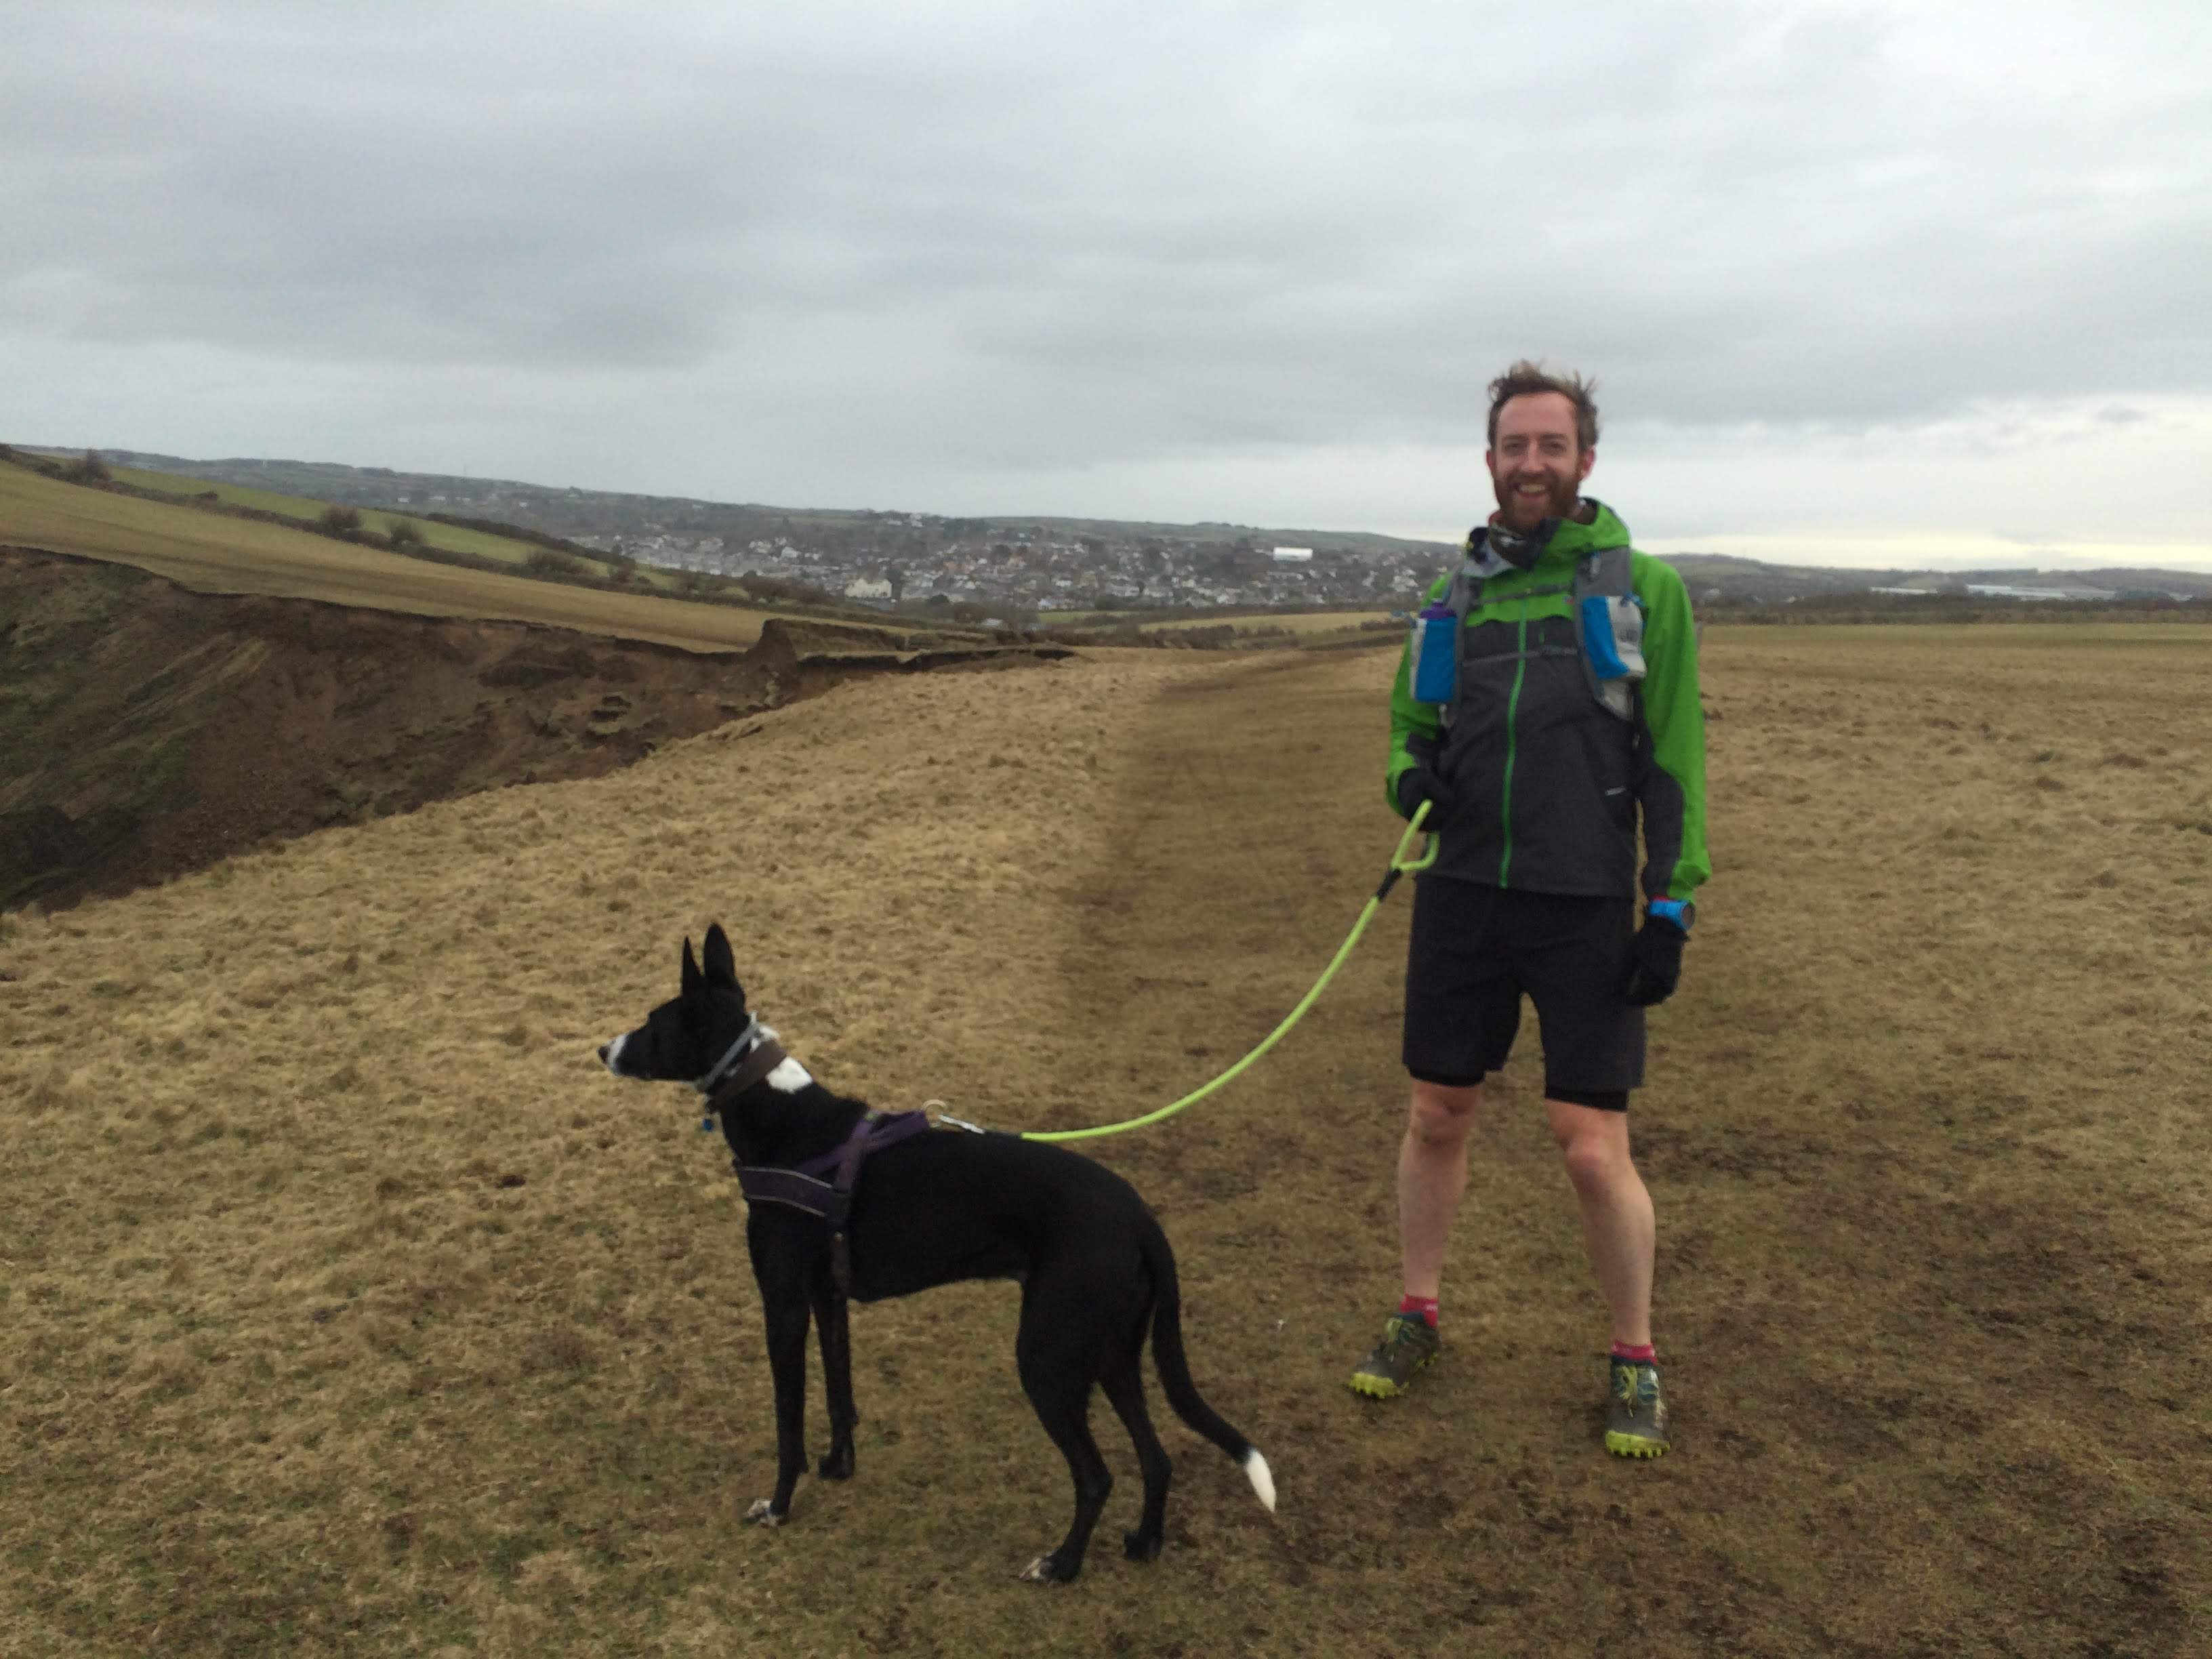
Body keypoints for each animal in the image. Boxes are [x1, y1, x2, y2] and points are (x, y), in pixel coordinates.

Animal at [601, 928, 1283, 1593]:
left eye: (654, 1022)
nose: (602, 1049)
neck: (784, 1117)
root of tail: (1143, 1221)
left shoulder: (784, 1305)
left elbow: (787, 1422)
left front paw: (778, 1506)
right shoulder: (828, 1296)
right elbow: (840, 1392)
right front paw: (840, 1466)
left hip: (1049, 1357)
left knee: (1096, 1476)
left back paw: (1061, 1565)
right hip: (1111, 1354)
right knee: (1156, 1457)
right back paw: (1143, 1544)